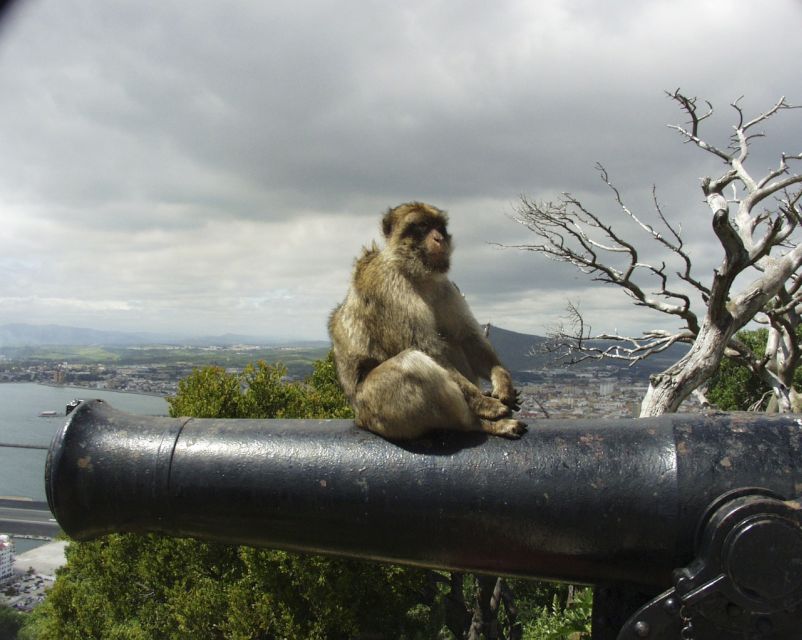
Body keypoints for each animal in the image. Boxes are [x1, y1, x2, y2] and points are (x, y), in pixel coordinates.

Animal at [324, 204, 524, 440]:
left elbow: (467, 337)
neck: (416, 273)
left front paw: (503, 383)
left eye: (439, 226)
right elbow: (425, 347)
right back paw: (479, 424)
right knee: (411, 363)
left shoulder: (445, 286)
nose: (439, 238)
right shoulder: (389, 286)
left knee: (451, 340)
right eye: (422, 225)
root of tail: (359, 419)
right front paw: (486, 404)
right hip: (378, 410)